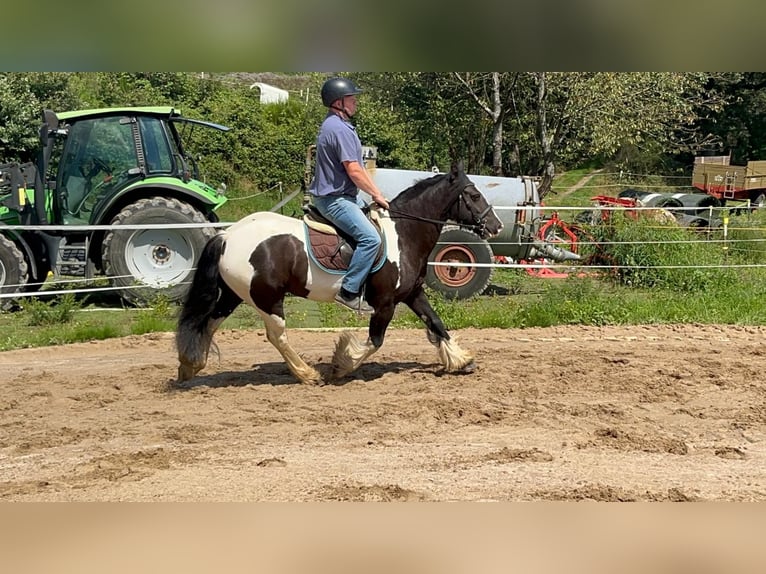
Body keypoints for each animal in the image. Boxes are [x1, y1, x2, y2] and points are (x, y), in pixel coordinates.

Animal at [177, 163, 508, 388]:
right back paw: (307, 374)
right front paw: (341, 365)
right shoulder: (385, 303)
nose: (496, 226)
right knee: (277, 335)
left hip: (235, 295)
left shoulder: (413, 294)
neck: (403, 234)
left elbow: (436, 323)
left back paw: (190, 365)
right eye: (473, 194)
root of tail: (227, 235)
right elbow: (375, 341)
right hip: (267, 298)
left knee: (209, 323)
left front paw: (461, 360)